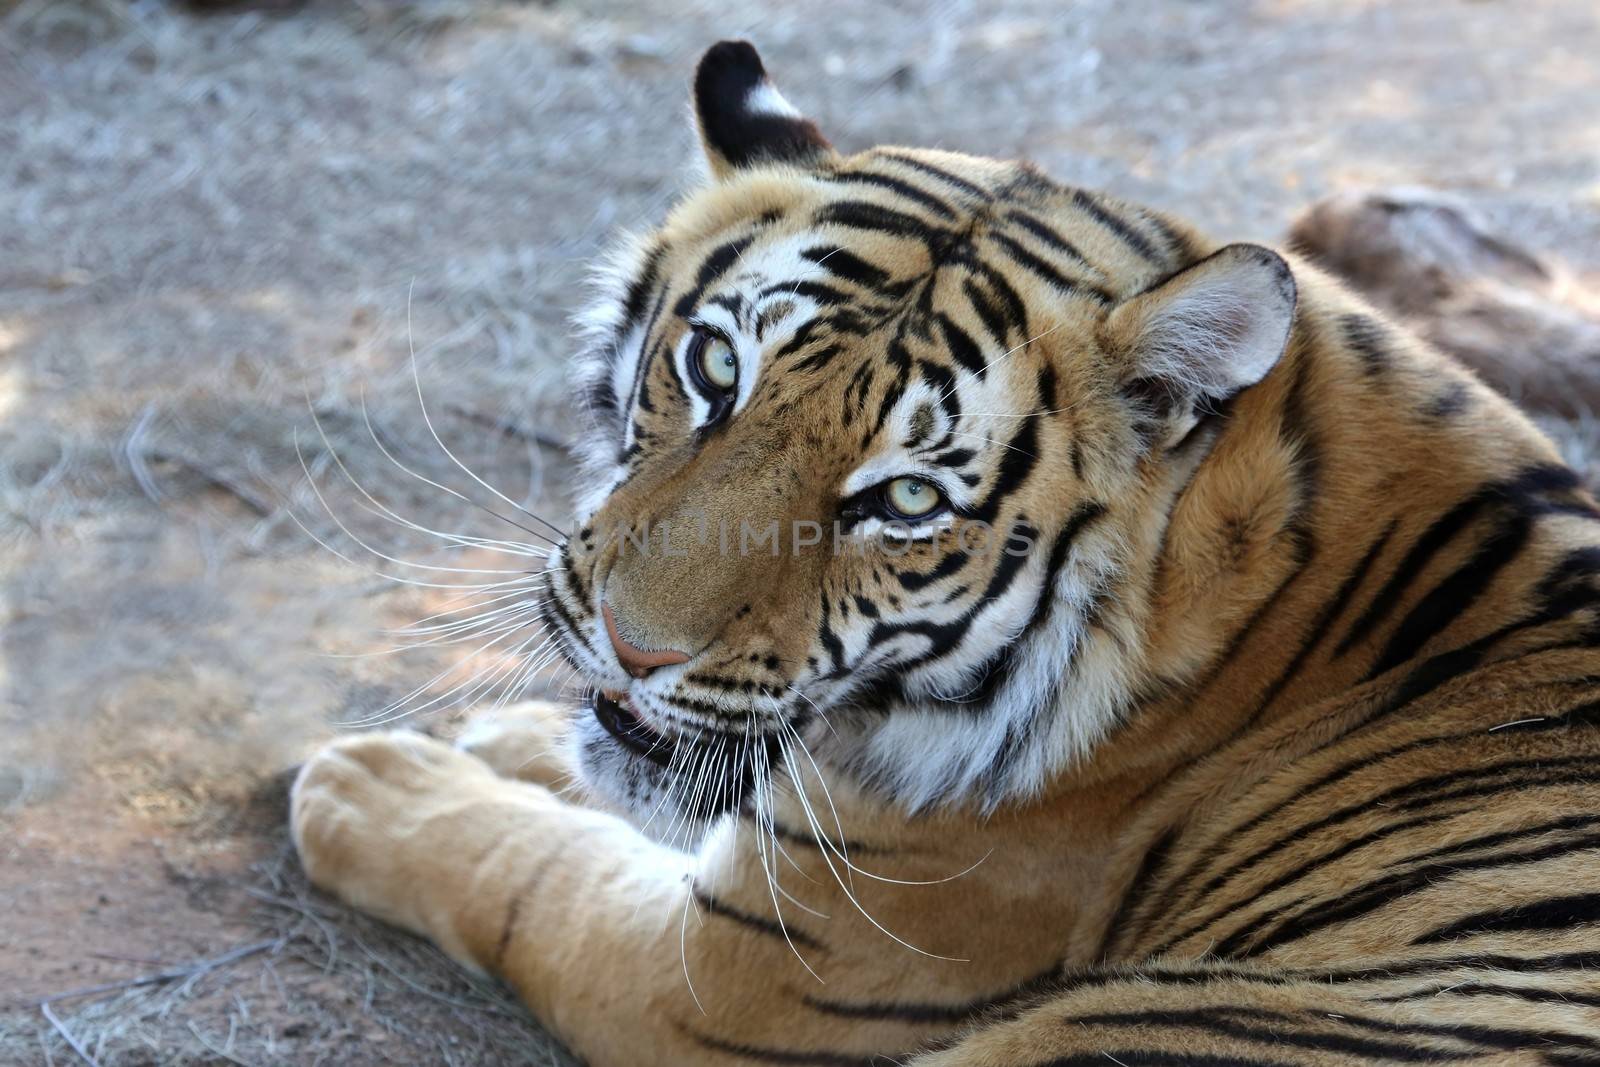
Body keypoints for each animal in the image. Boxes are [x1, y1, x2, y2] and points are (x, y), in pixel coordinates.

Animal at [291, 37, 1600, 1062]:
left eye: (907, 497)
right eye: (713, 366)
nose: (629, 643)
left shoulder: (719, 974)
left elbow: (531, 876)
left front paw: (375, 782)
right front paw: (497, 733)